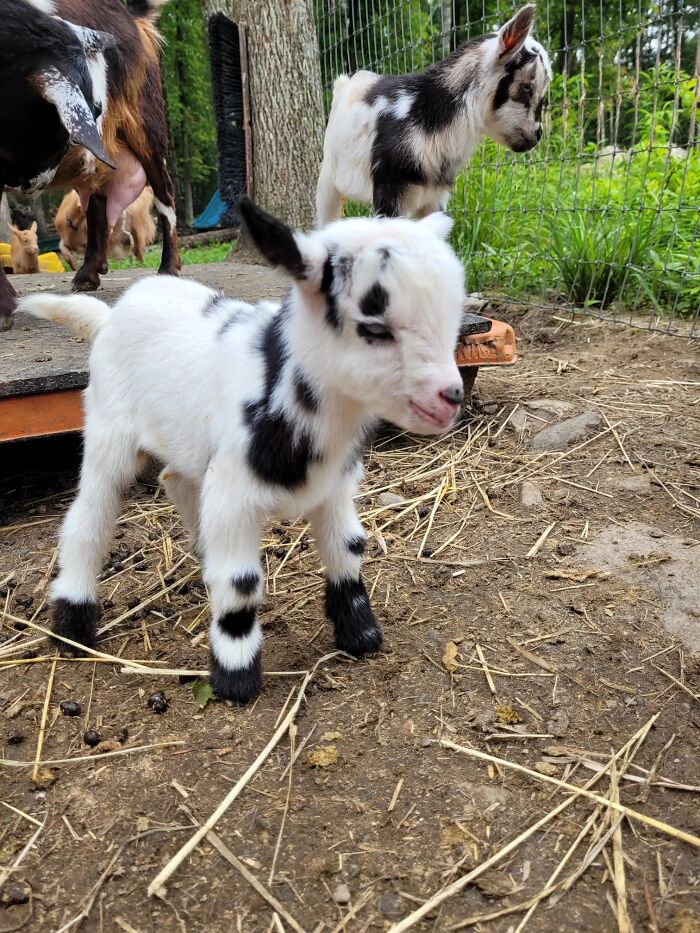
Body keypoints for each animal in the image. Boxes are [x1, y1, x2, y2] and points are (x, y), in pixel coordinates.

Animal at [0, 0, 179, 326]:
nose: (31, 184)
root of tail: (133, 17)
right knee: (98, 198)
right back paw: (87, 275)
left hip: (147, 122)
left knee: (165, 192)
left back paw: (168, 270)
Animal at [19, 199, 467, 703]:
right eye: (373, 327)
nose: (450, 397)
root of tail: (108, 316)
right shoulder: (235, 494)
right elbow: (240, 582)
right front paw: (235, 676)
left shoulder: (333, 488)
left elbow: (348, 549)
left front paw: (361, 634)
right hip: (108, 424)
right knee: (90, 515)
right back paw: (72, 625)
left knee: (175, 478)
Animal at [317, 4, 552, 224]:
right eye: (527, 88)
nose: (538, 134)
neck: (425, 115)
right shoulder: (388, 193)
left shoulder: (435, 198)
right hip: (327, 179)